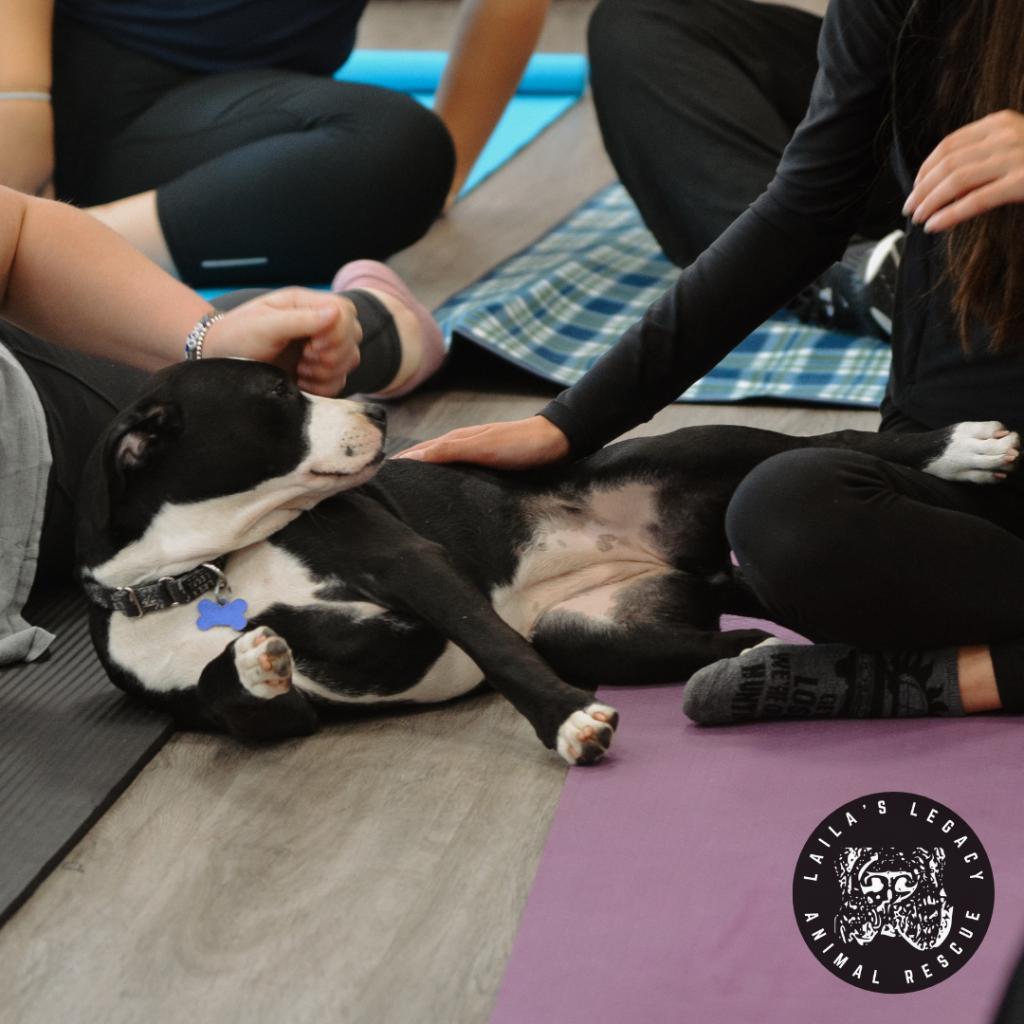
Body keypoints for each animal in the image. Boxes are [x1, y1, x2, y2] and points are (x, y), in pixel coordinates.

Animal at [77, 356, 1015, 765]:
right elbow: (234, 692)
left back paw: (958, 450)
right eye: (276, 395)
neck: (201, 569)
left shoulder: (408, 560)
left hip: (696, 448)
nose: (380, 411)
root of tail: (693, 562)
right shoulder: (276, 712)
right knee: (719, 639)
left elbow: (493, 644)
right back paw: (765, 662)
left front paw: (566, 723)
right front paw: (255, 656)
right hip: (595, 631)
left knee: (841, 442)